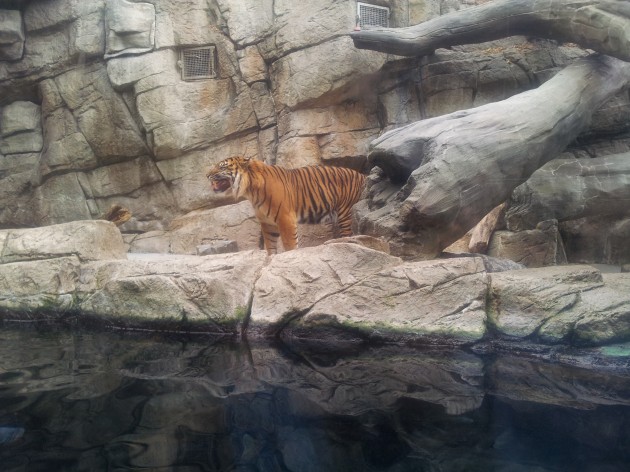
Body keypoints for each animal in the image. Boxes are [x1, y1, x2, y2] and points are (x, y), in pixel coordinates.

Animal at [207, 157, 366, 254]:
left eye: (221, 167)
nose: (207, 175)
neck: (251, 190)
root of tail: (363, 176)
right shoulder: (267, 222)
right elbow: (270, 246)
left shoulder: (285, 217)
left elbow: (289, 244)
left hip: (345, 212)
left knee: (349, 234)